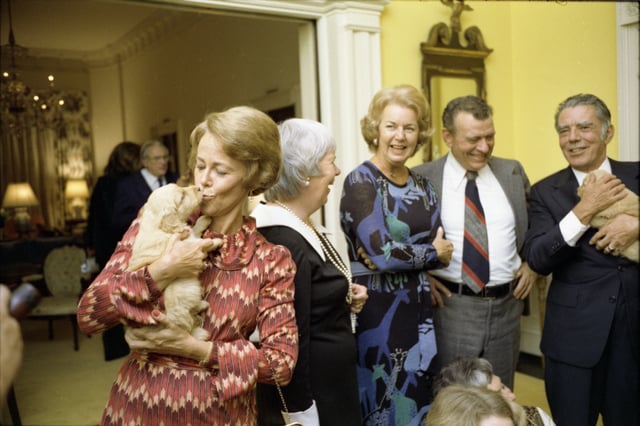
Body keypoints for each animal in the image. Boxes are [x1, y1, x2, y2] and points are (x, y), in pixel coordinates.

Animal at [127, 183, 212, 340]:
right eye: (182, 196)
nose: (198, 187)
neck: (157, 225)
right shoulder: (188, 244)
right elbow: (202, 242)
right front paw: (216, 241)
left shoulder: (188, 233)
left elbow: (195, 228)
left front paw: (205, 218)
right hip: (179, 292)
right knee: (188, 321)